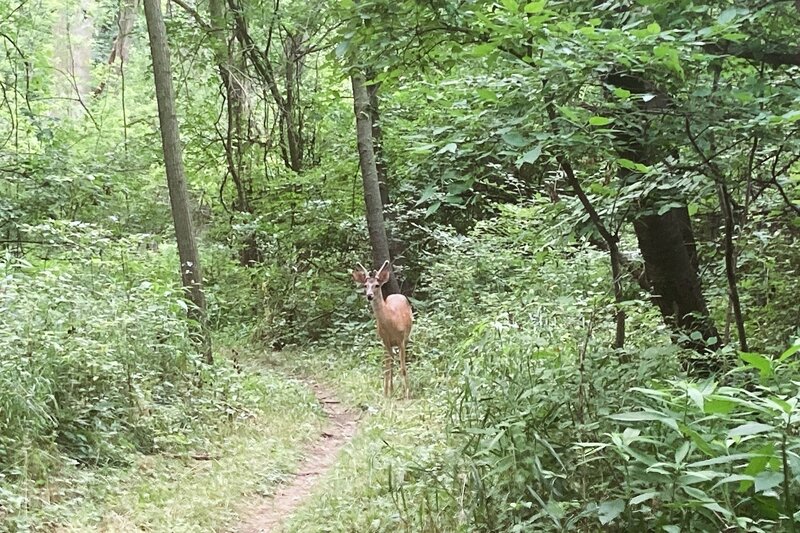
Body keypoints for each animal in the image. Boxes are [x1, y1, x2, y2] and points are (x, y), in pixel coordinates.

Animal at [352, 260, 412, 396]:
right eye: (365, 285)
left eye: (377, 285)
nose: (369, 296)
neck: (391, 323)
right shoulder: (385, 340)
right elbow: (386, 368)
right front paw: (385, 393)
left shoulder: (401, 340)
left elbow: (403, 368)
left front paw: (406, 394)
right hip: (387, 344)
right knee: (390, 363)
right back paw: (391, 390)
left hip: (406, 338)